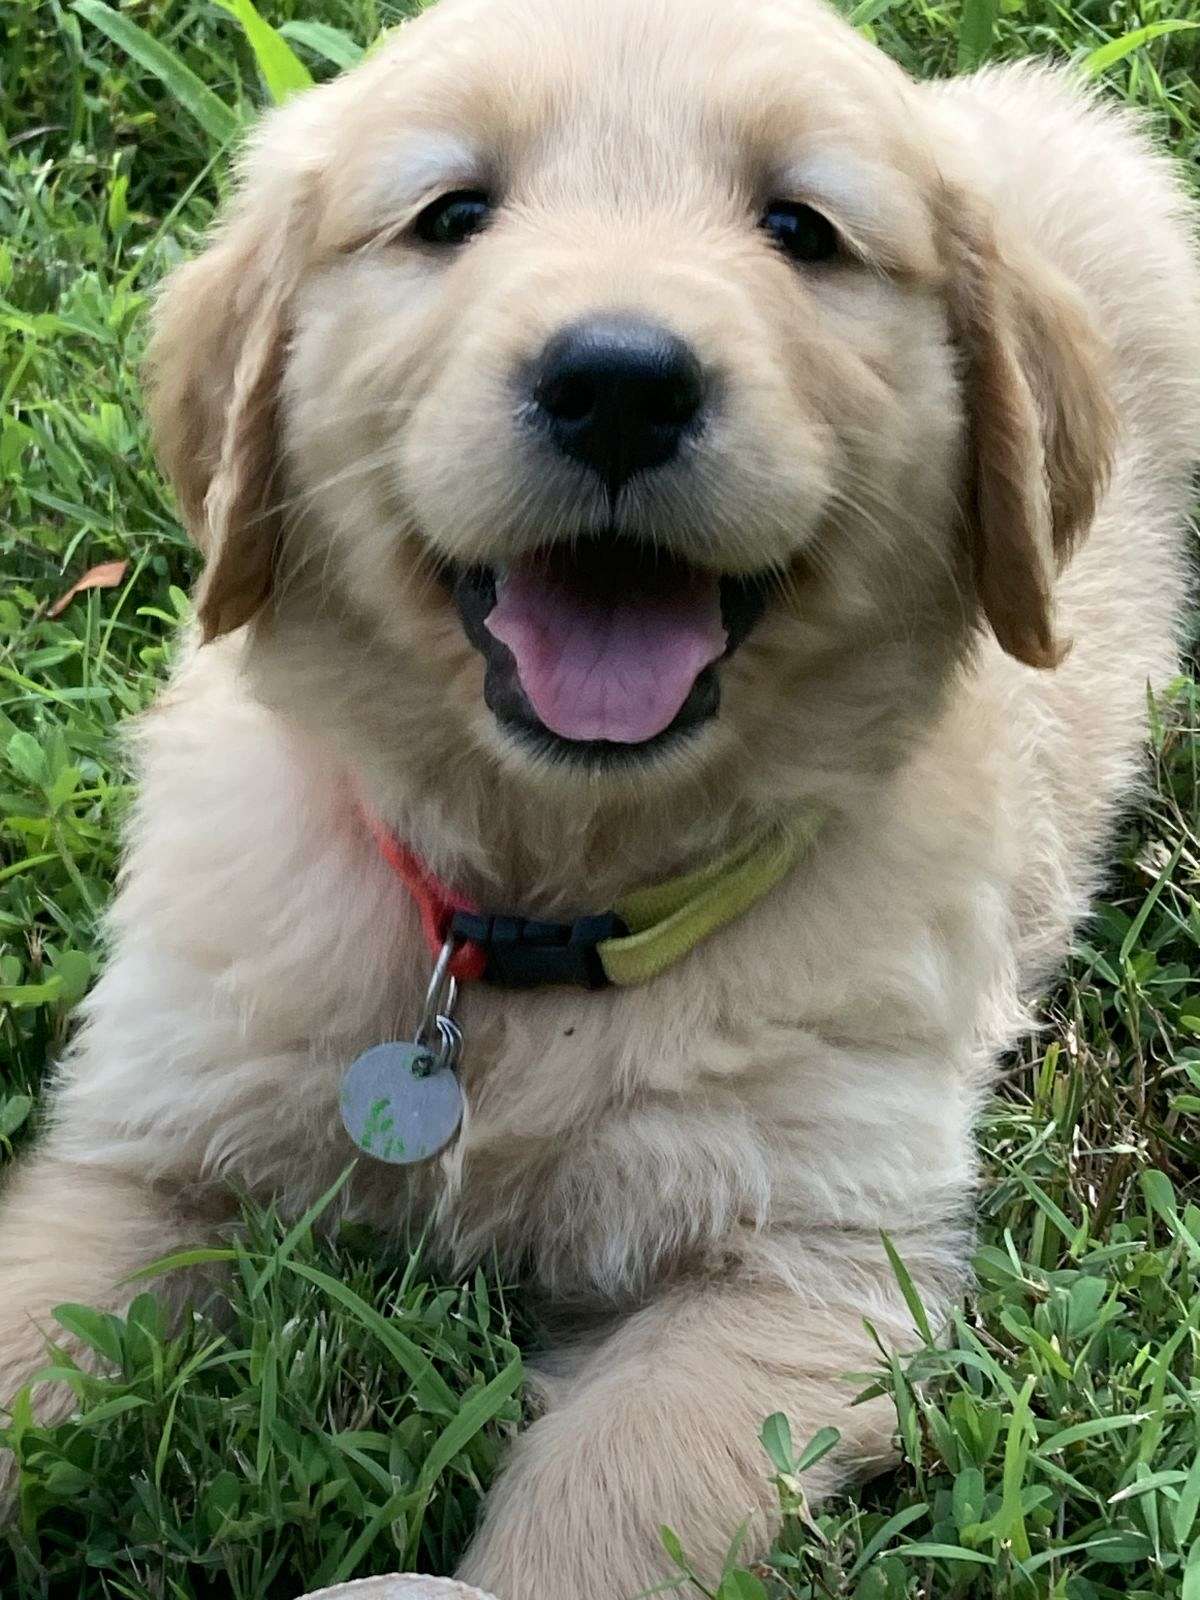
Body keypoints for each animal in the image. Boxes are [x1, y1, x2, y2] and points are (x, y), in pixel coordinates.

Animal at [2, 0, 1200, 1593]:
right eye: (452, 213)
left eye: (801, 229)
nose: (622, 382)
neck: (535, 913)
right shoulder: (140, 1146)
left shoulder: (807, 1264)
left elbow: (604, 1506)